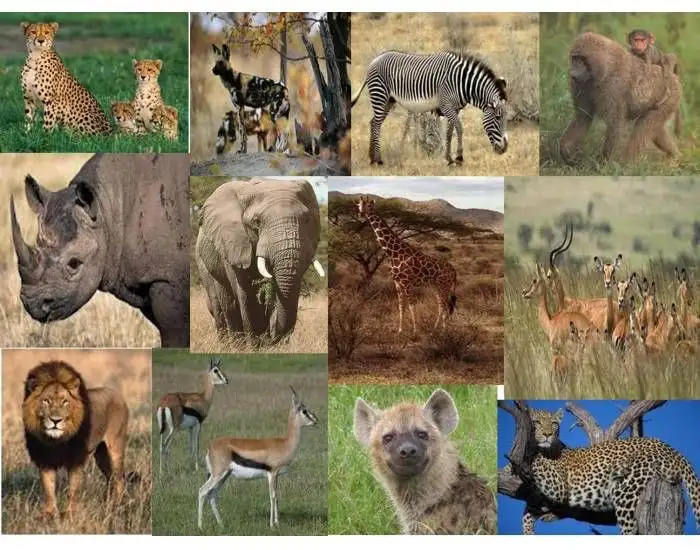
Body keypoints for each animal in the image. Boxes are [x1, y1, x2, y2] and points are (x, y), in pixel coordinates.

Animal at [195, 178, 325, 343]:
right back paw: (232, 344)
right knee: (223, 305)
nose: (273, 335)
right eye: (257, 222)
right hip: (203, 264)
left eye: (307, 220)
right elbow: (247, 296)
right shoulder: (234, 244)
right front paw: (254, 346)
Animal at [352, 50, 508, 166]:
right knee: (377, 124)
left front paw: (449, 159)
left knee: (373, 122)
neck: (462, 83)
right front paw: (459, 157)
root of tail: (375, 59)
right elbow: (459, 128)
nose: (505, 149)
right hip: (380, 95)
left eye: (506, 118)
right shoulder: (446, 105)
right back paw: (378, 159)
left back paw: (371, 158)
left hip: (388, 100)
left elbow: (449, 132)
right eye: (498, 118)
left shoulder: (455, 108)